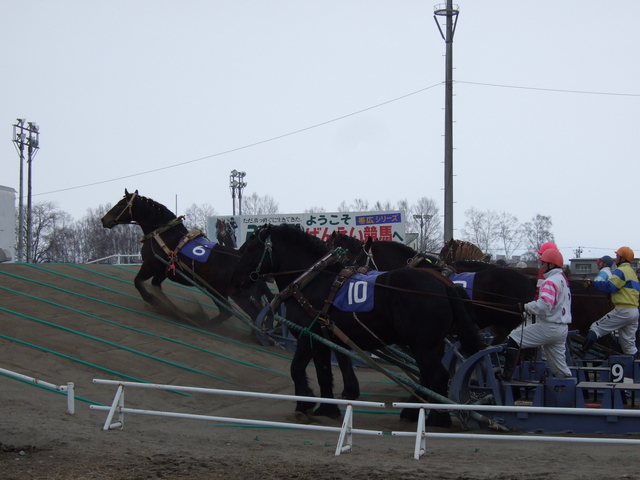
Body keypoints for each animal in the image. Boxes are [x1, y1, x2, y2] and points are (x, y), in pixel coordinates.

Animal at [101, 189, 272, 327]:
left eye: (120, 204)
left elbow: (138, 282)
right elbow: (156, 285)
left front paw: (154, 301)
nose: (104, 220)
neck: (164, 234)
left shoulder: (150, 265)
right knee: (255, 313)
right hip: (233, 294)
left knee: (233, 312)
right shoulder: (164, 271)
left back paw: (204, 324)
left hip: (221, 291)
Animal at [232, 224, 485, 427]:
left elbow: (296, 369)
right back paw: (415, 411)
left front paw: (303, 405)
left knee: (438, 377)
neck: (312, 281)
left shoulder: (307, 336)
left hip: (421, 345)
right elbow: (324, 372)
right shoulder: (323, 339)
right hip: (430, 345)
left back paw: (437, 418)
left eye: (249, 248)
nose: (236, 277)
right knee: (428, 377)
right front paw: (326, 408)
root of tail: (445, 285)